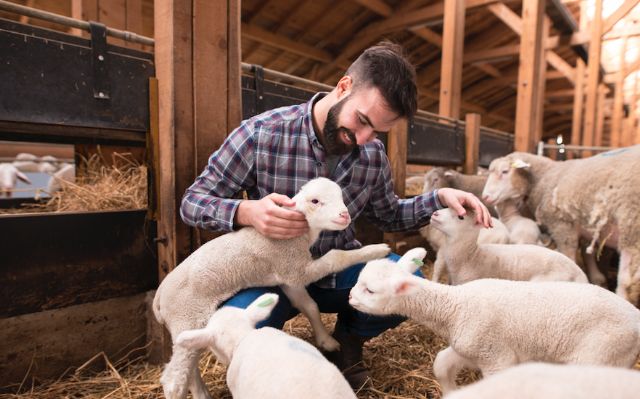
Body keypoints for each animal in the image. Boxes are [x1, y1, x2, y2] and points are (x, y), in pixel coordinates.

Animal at [350, 247, 640, 394]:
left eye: (370, 290)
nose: (350, 297)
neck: (455, 306)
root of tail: (634, 317)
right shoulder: (472, 347)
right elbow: (442, 363)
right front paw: (451, 390)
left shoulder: (497, 357)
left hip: (600, 355)